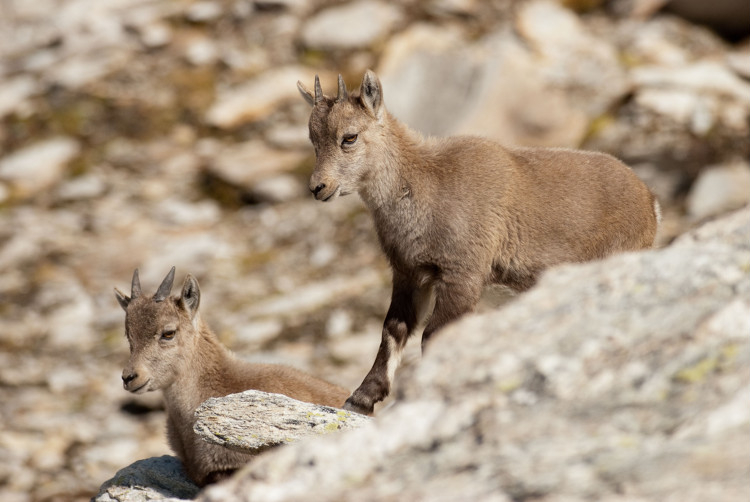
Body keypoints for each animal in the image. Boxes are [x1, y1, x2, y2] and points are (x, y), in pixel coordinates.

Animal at [297, 70, 661, 416]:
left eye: (349, 137)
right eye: (313, 140)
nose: (318, 187)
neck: (425, 186)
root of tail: (650, 201)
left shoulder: (464, 273)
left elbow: (434, 336)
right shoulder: (410, 274)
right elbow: (394, 329)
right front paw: (361, 398)